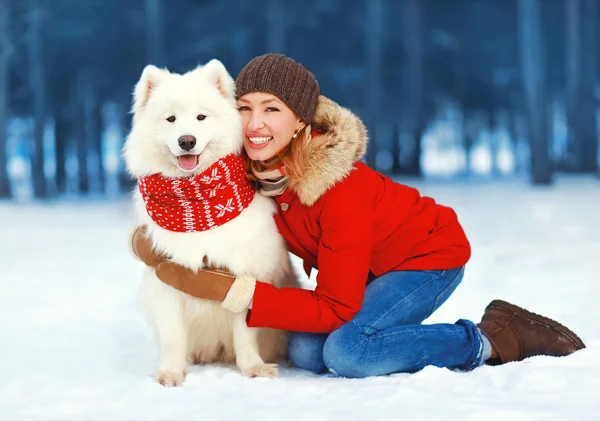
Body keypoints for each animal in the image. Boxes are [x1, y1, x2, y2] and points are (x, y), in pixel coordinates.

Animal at [123, 58, 298, 384]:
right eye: (171, 119)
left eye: (201, 117)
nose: (187, 140)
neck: (198, 205)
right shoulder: (167, 279)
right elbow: (173, 336)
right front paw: (171, 372)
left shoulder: (244, 276)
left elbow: (245, 334)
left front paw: (253, 369)